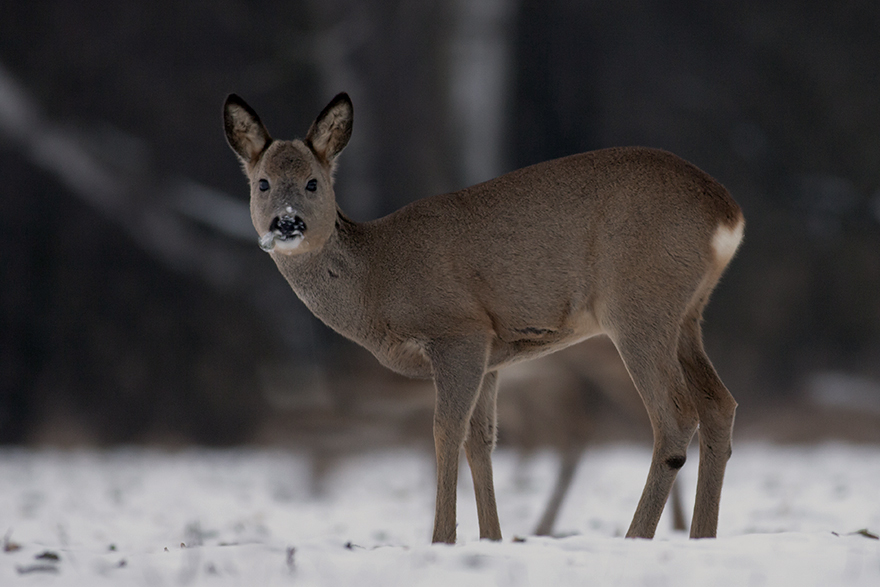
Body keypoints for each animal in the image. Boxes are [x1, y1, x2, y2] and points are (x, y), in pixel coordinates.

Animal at [225, 93, 744, 548]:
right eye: (262, 183)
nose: (286, 224)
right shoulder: (494, 356)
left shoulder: (459, 333)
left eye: (313, 182)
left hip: (638, 306)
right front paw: (492, 538)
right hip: (687, 315)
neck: (378, 282)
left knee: (675, 415)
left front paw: (442, 539)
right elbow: (482, 442)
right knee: (719, 404)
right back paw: (702, 536)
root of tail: (728, 213)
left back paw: (636, 536)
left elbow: (445, 432)